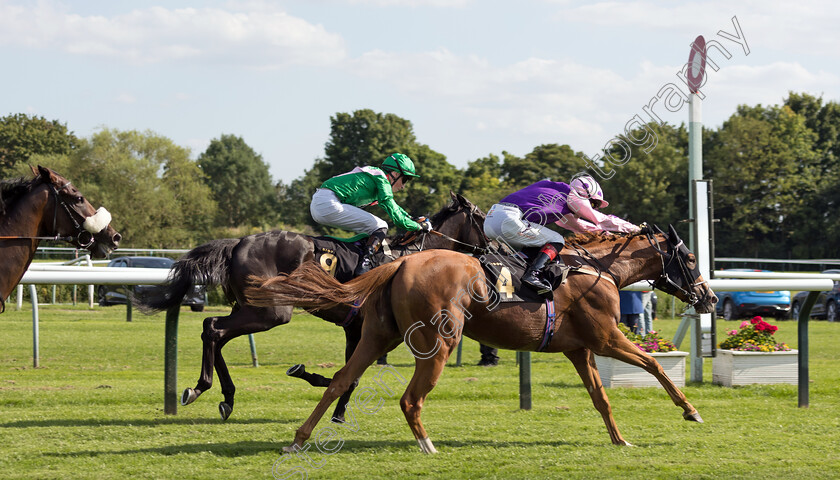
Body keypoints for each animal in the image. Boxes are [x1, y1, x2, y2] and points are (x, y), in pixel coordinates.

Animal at [137, 193, 488, 422]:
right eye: (483, 218)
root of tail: (237, 243)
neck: (412, 259)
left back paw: (226, 397)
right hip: (271, 312)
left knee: (214, 330)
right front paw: (330, 402)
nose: (490, 248)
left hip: (249, 308)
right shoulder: (372, 329)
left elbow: (349, 374)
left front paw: (336, 407)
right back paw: (202, 388)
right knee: (214, 329)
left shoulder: (354, 328)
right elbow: (349, 375)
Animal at [246, 225, 720, 450]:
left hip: (378, 335)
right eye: (690, 258)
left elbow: (601, 397)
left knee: (342, 380)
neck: (598, 269)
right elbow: (655, 363)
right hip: (438, 340)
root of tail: (400, 263)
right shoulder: (605, 339)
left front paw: (620, 439)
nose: (711, 297)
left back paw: (298, 440)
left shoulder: (579, 349)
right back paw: (428, 445)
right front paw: (692, 411)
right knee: (410, 398)